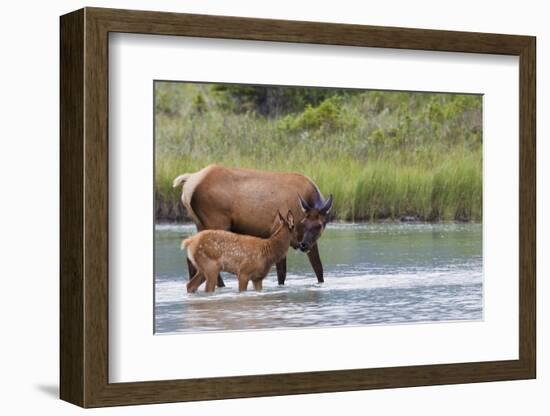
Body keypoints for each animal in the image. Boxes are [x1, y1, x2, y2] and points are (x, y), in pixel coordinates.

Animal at [175, 164, 334, 288]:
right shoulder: (278, 229)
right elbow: (281, 273)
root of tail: (188, 182)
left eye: (319, 226)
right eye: (302, 222)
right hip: (215, 221)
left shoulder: (311, 241)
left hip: (199, 223)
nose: (303, 245)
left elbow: (319, 268)